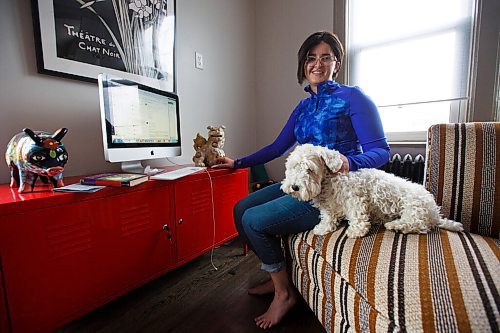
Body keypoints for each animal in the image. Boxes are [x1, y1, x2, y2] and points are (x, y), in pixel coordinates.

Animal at [282, 144, 464, 237]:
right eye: (292, 167)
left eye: (310, 169)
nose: (294, 187)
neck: (329, 181)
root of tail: (435, 213)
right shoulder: (329, 206)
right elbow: (328, 218)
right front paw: (323, 228)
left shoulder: (354, 198)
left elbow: (357, 215)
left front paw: (356, 231)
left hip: (414, 207)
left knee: (418, 224)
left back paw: (395, 225)